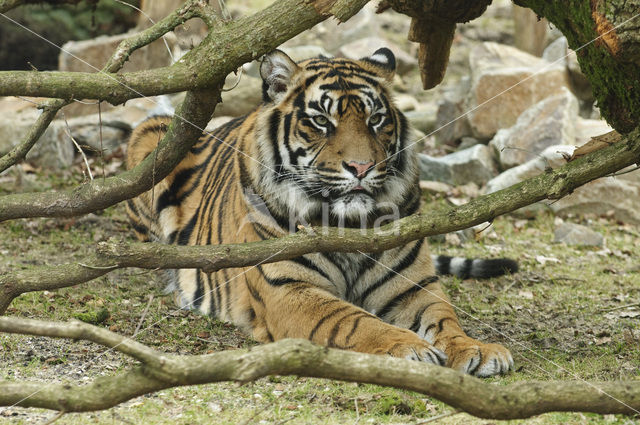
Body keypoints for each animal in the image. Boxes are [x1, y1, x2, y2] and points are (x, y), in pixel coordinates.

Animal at [126, 48, 520, 376]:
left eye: (376, 119)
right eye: (320, 121)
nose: (361, 167)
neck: (352, 226)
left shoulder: (413, 287)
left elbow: (444, 319)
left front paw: (476, 349)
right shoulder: (289, 289)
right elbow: (354, 319)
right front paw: (410, 347)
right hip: (152, 135)